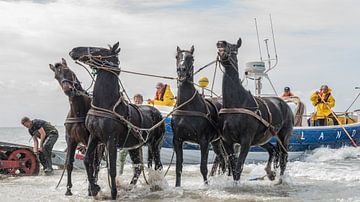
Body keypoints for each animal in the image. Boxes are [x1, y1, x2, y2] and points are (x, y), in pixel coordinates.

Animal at [49, 58, 103, 196]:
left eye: (68, 70)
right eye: (56, 76)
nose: (69, 90)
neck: (78, 111)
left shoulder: (89, 139)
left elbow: (90, 163)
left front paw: (91, 188)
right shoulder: (71, 140)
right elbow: (69, 164)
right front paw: (68, 189)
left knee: (97, 163)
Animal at [68, 42, 165, 199]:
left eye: (97, 49)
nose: (73, 50)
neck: (106, 104)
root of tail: (158, 114)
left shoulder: (111, 140)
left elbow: (112, 169)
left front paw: (113, 193)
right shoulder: (94, 137)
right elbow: (88, 161)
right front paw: (94, 188)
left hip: (155, 145)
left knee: (158, 166)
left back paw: (158, 186)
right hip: (134, 147)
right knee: (138, 168)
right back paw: (130, 187)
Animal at [215, 38, 294, 181]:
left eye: (234, 47)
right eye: (219, 47)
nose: (220, 43)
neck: (236, 104)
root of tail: (285, 105)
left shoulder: (246, 141)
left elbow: (238, 167)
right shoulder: (227, 141)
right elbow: (232, 166)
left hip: (284, 137)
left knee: (283, 158)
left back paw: (280, 180)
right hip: (262, 139)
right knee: (272, 150)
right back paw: (270, 172)